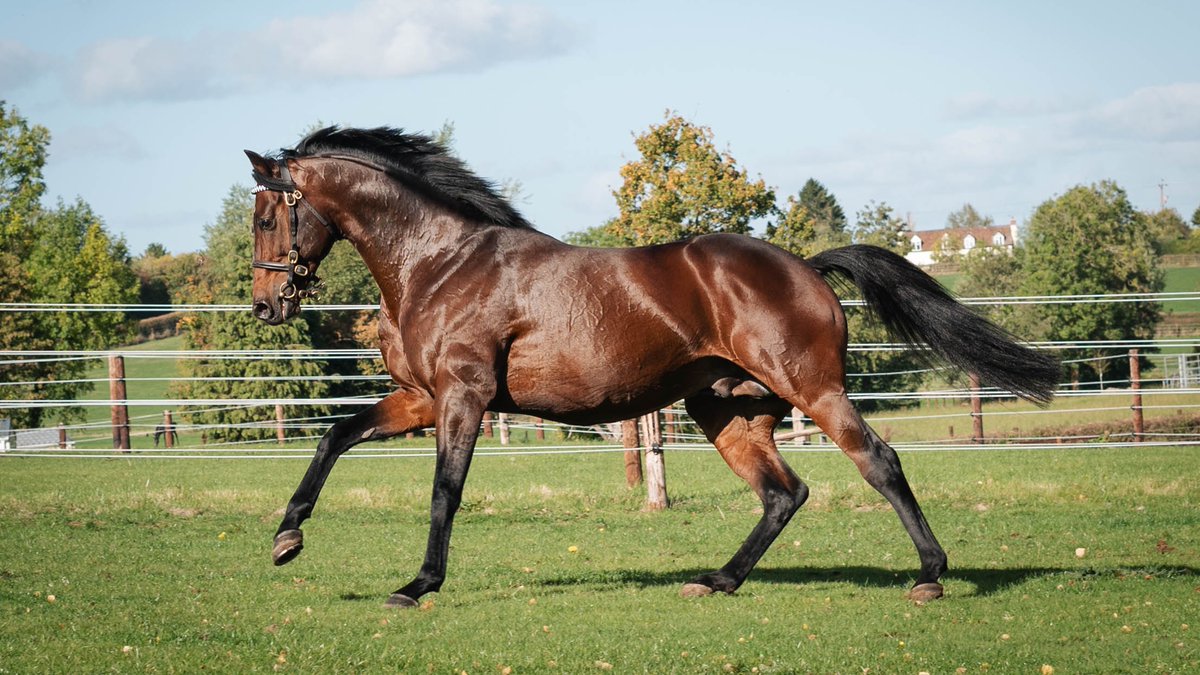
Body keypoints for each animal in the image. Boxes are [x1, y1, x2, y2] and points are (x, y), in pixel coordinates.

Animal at [245, 126, 1059, 608]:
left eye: (266, 214)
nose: (265, 304)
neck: (440, 262)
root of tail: (806, 265)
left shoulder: (462, 396)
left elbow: (446, 490)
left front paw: (417, 585)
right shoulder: (418, 396)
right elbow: (335, 436)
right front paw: (287, 539)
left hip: (814, 390)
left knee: (878, 462)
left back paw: (929, 576)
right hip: (726, 410)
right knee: (783, 492)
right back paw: (718, 580)